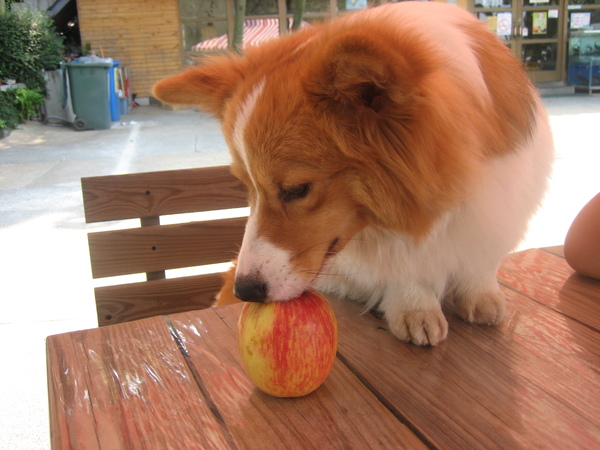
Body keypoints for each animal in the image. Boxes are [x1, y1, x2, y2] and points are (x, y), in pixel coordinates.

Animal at [154, 1, 552, 344]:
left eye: (297, 189)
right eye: (246, 186)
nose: (244, 292)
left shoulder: (494, 211)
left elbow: (478, 263)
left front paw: (480, 295)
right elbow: (404, 268)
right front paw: (415, 308)